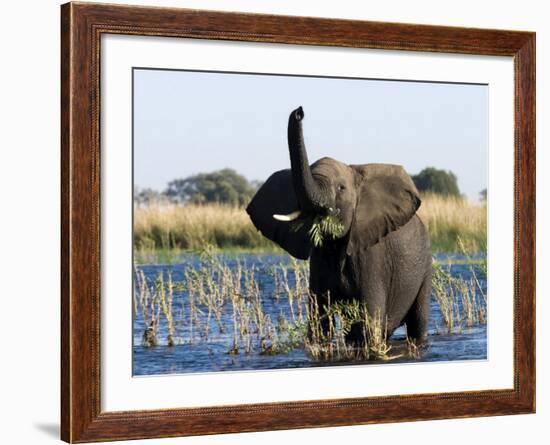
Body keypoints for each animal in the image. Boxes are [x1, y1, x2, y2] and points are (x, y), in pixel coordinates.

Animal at [248, 106, 434, 344]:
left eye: (341, 188)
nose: (299, 111)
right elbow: (319, 324)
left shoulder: (372, 257)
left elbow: (368, 323)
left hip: (425, 265)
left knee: (417, 322)